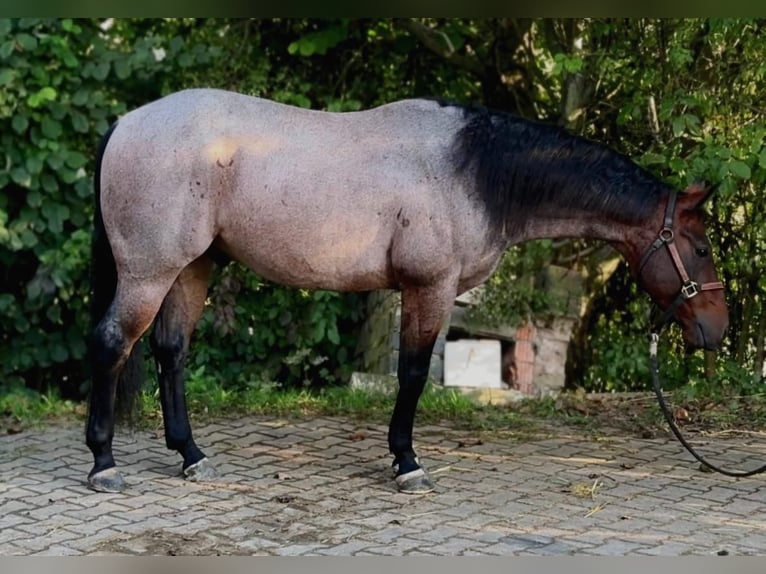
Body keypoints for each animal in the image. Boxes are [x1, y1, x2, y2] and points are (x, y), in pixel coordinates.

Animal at [85, 88, 728, 494]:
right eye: (699, 247)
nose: (716, 329)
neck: (475, 171)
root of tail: (126, 122)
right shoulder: (430, 287)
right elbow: (414, 374)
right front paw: (407, 463)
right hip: (150, 271)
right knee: (112, 345)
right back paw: (103, 463)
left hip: (194, 266)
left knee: (170, 352)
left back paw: (191, 456)